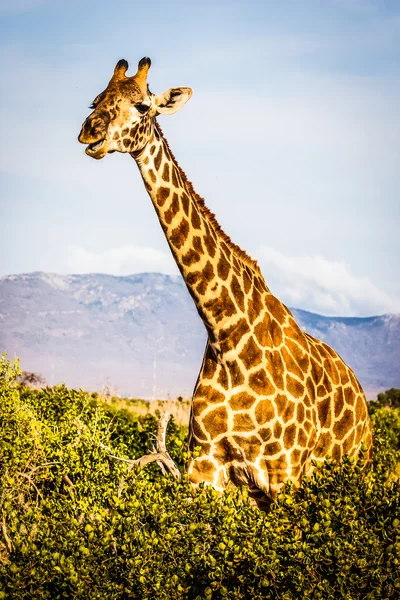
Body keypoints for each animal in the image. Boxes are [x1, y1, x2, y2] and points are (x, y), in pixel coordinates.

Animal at [79, 56, 376, 508]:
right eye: (96, 100)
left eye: (143, 106)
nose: (90, 131)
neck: (225, 332)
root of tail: (360, 394)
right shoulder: (206, 468)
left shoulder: (286, 472)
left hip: (356, 467)